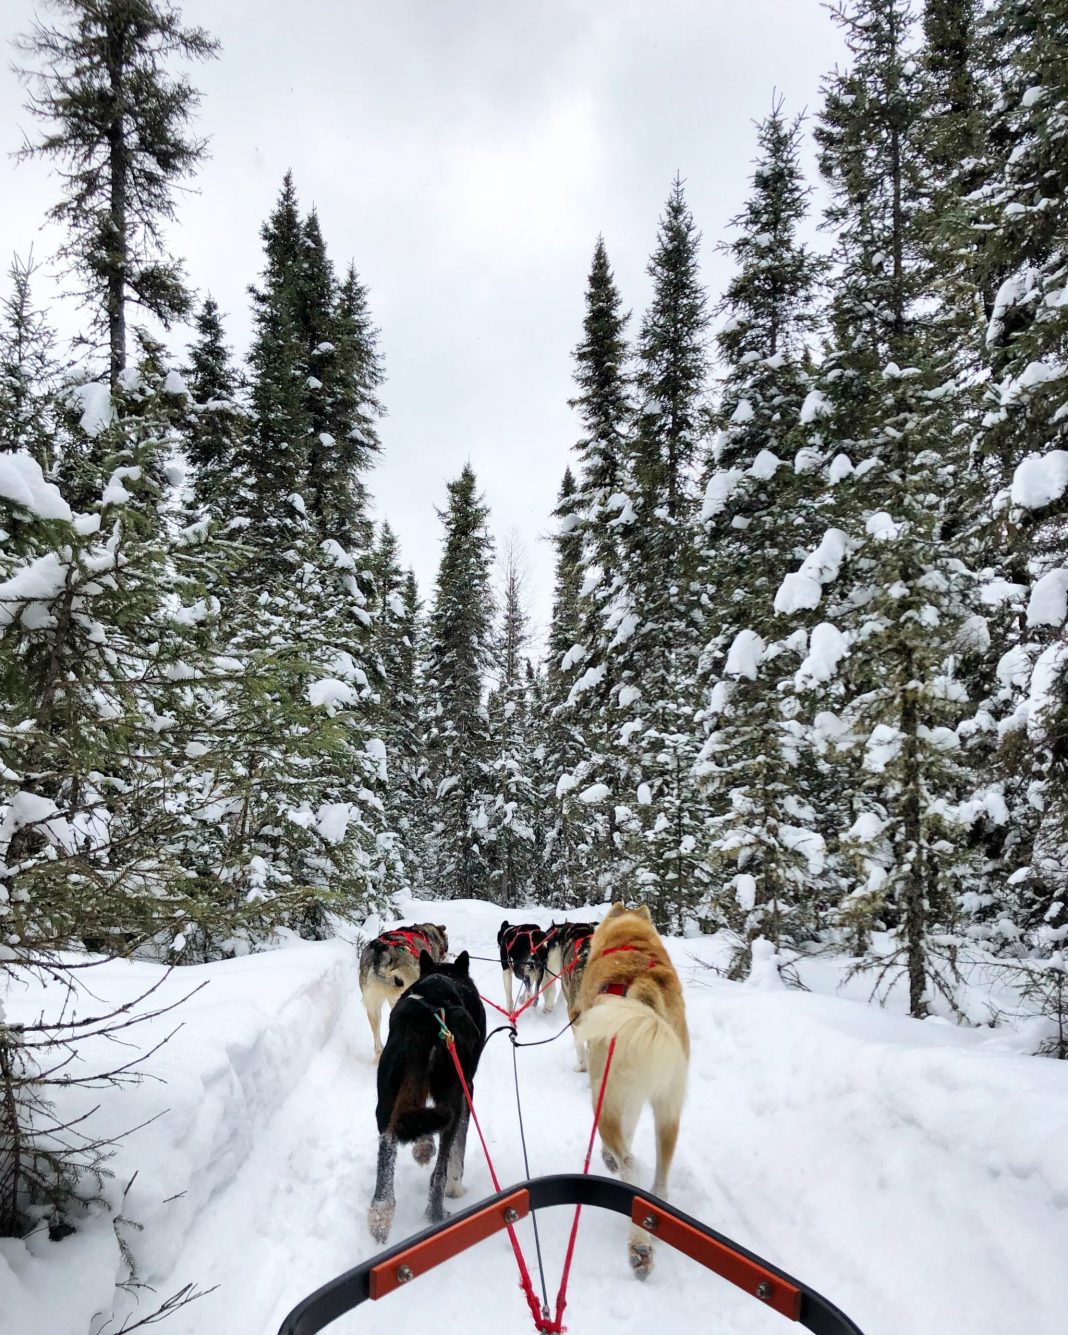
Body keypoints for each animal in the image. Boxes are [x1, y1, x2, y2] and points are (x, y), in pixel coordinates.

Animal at [368, 950, 483, 1238]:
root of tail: (427, 1020)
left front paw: (423, 1148)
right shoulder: (467, 1089)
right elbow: (457, 1150)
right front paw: (456, 1185)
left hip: (386, 1097)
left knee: (388, 1142)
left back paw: (380, 1212)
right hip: (453, 1096)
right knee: (441, 1168)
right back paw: (437, 1213)